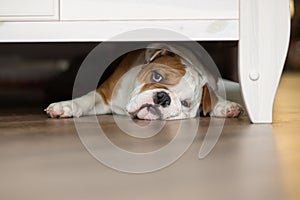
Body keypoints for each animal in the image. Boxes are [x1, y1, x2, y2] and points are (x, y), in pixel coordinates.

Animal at [46, 42, 244, 119]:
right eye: (157, 76)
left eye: (185, 103)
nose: (163, 97)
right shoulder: (104, 95)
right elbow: (86, 100)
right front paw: (65, 106)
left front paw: (224, 105)